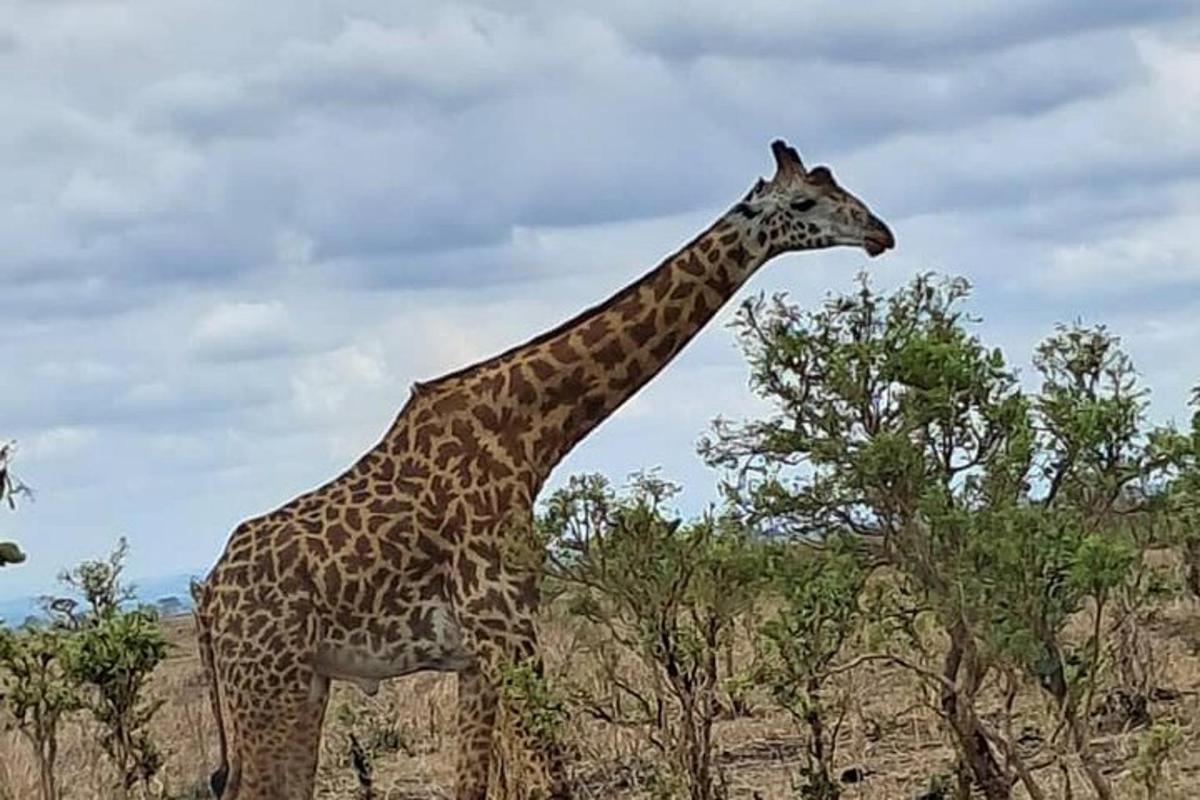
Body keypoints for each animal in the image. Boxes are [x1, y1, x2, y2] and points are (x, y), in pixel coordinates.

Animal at [194, 140, 892, 796]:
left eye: (838, 184)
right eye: (804, 202)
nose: (880, 232)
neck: (529, 438)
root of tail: (207, 598)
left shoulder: (478, 653)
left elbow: (473, 784)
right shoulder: (507, 629)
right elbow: (551, 777)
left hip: (304, 680)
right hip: (268, 682)